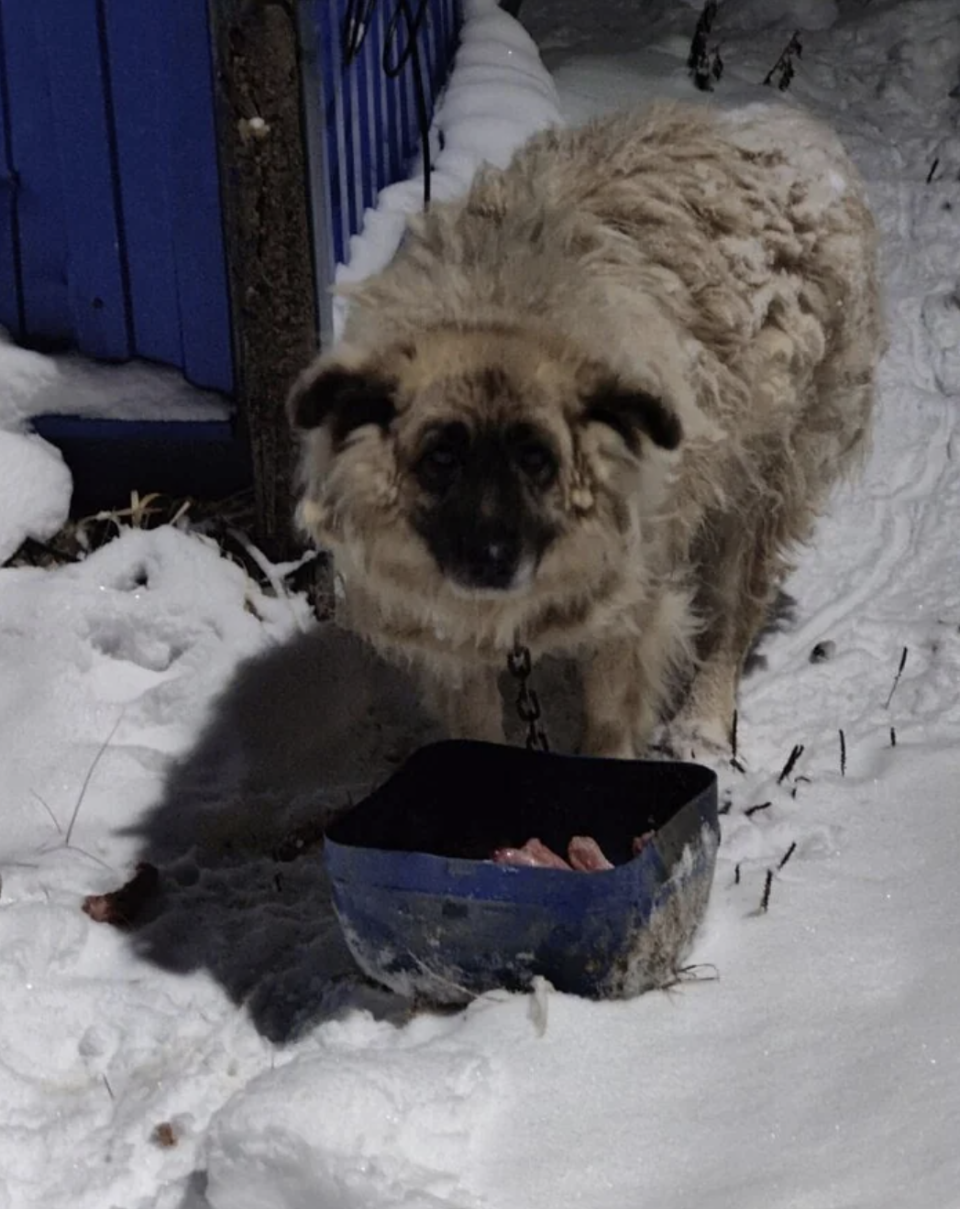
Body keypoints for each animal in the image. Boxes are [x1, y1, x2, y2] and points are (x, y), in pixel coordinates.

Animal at [284, 101, 885, 754]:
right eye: (439, 459)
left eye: (538, 459)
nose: (492, 560)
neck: (502, 314)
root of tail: (804, 130)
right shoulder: (452, 629)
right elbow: (477, 721)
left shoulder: (632, 600)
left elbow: (609, 716)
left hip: (770, 474)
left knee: (734, 608)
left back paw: (702, 726)